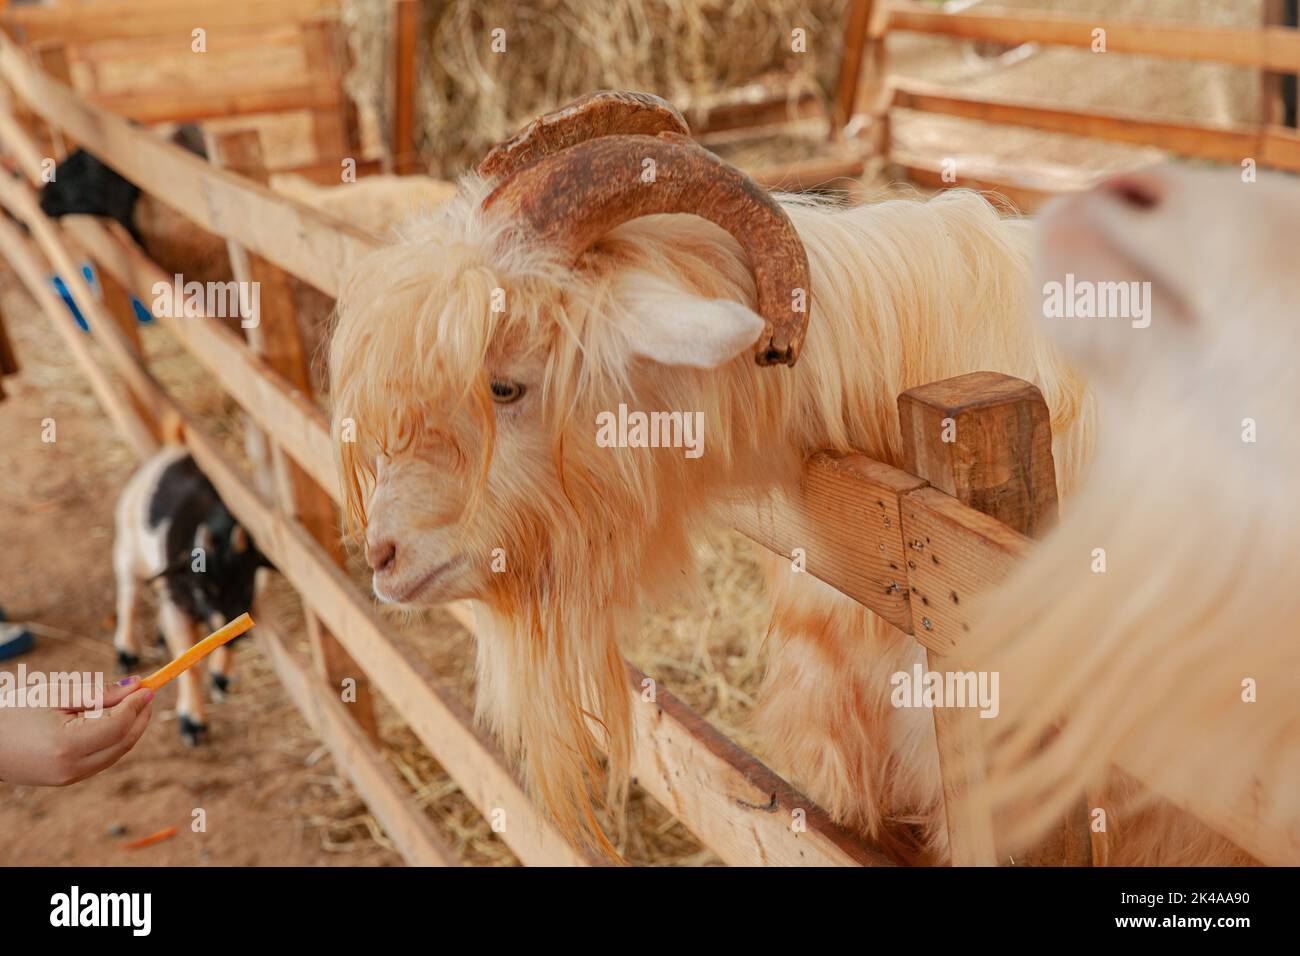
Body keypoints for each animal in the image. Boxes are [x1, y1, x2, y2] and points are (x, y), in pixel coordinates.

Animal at [113, 443, 268, 745]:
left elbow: (221, 639)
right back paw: (126, 649)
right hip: (128, 548)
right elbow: (190, 660)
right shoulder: (180, 601)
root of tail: (174, 450)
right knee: (129, 597)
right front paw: (192, 720)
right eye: (203, 589)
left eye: (246, 585)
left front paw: (221, 676)